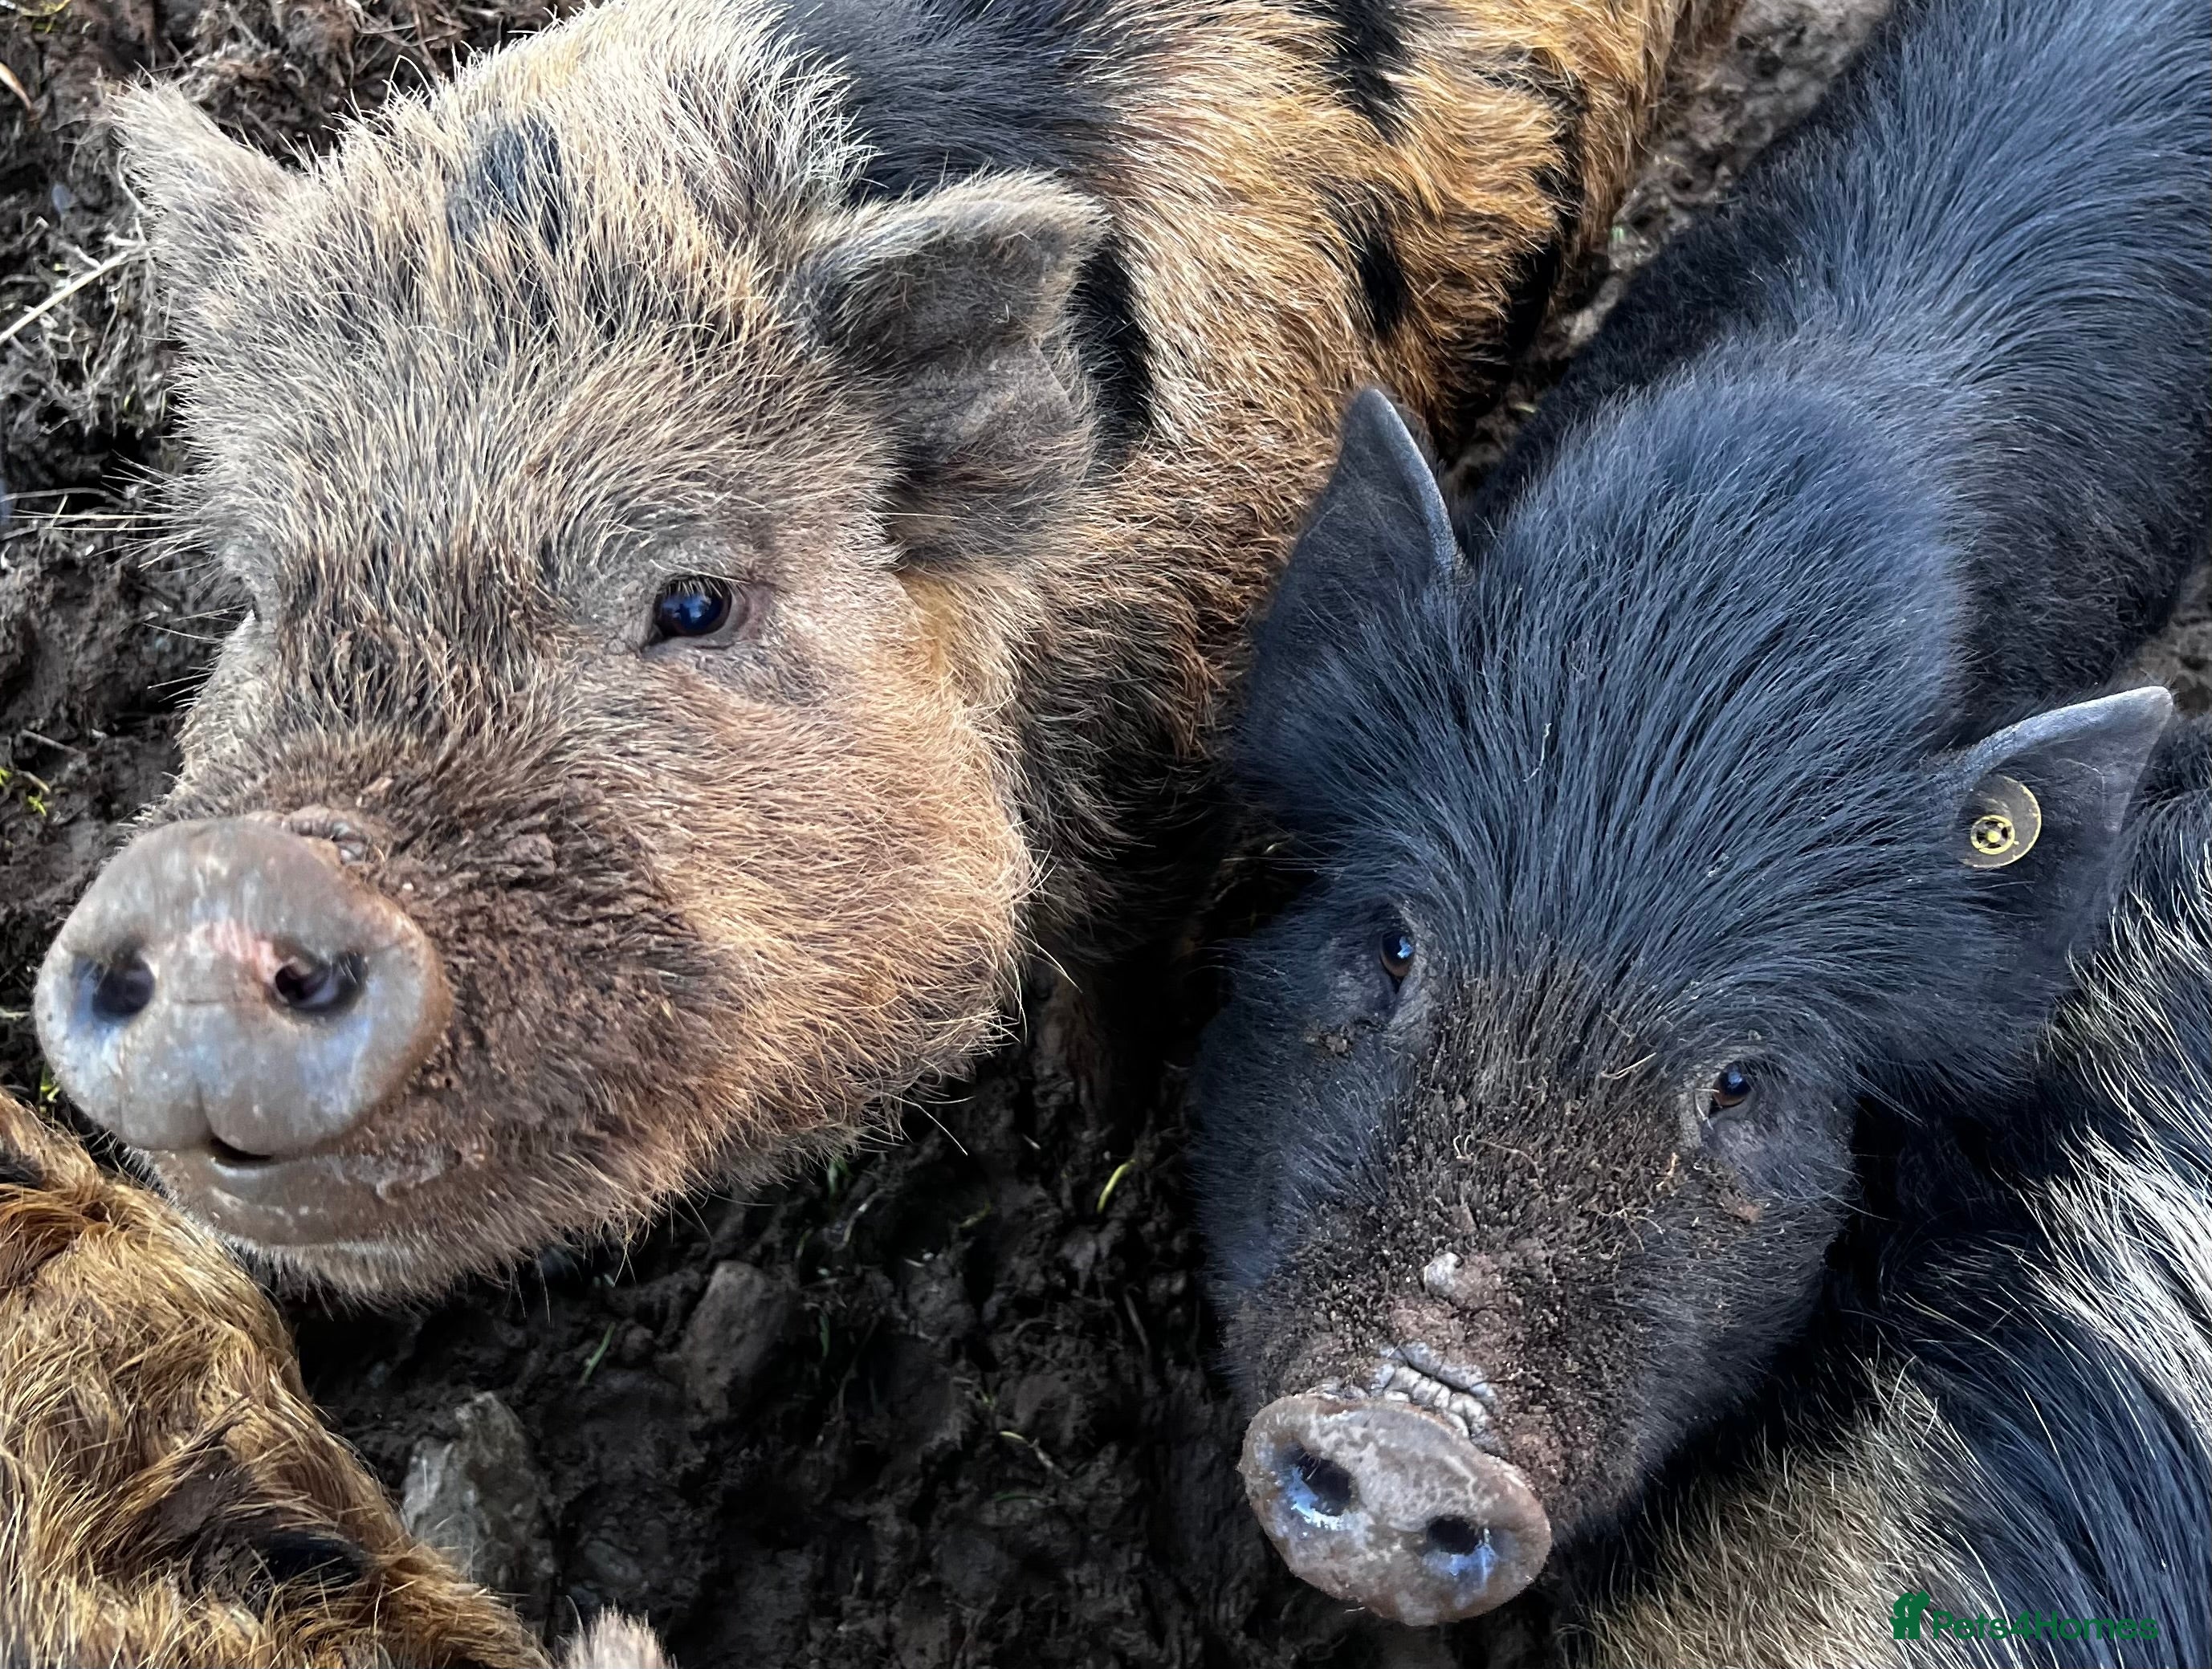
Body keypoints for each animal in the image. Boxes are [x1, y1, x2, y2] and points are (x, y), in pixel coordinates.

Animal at [32, 0, 1728, 1296]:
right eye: (260, 593)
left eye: (693, 600)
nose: (220, 881)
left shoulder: (1189, 692)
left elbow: (1116, 929)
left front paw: (1082, 1130)